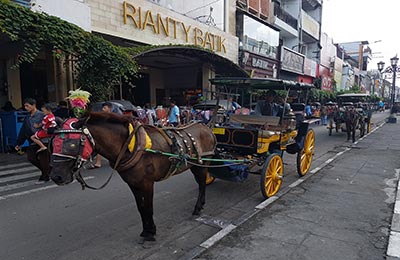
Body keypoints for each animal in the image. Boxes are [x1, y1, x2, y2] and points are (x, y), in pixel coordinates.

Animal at [50, 112, 219, 242]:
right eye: (53, 142)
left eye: (71, 144)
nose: (56, 177)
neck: (131, 147)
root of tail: (206, 127)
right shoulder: (133, 183)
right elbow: (141, 208)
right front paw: (145, 230)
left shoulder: (147, 183)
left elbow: (149, 207)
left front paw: (151, 233)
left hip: (201, 165)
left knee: (202, 183)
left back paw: (198, 207)